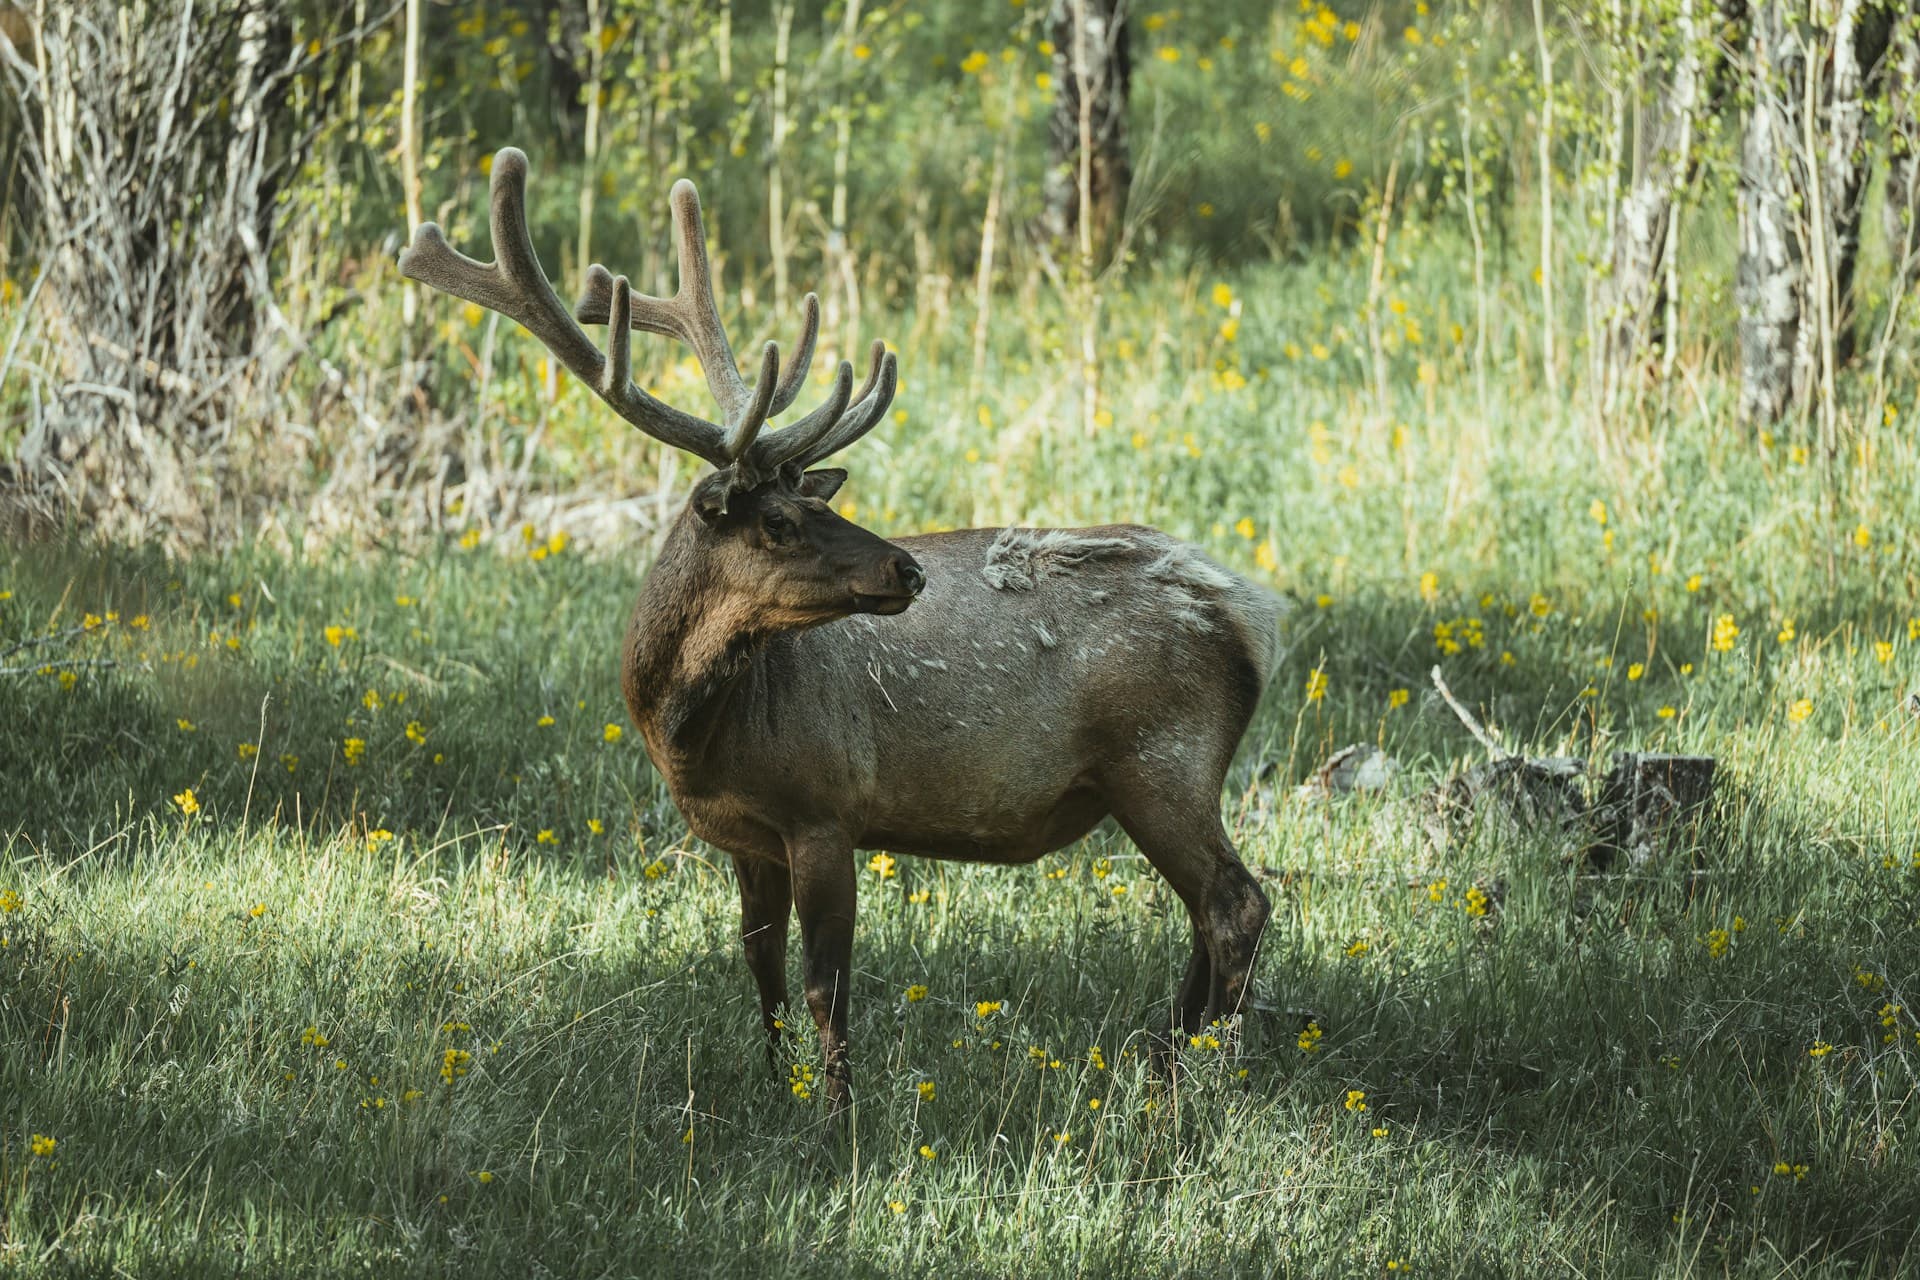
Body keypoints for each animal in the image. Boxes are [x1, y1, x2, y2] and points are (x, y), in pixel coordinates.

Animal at [400, 148, 1283, 1118]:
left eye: (809, 507)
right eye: (780, 521)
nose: (907, 568)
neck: (694, 735)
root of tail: (1250, 615)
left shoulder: (826, 809)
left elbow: (828, 984)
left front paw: (837, 1118)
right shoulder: (744, 838)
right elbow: (761, 967)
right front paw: (772, 1087)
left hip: (1162, 759)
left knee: (1236, 905)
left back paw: (1196, 1078)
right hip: (1160, 775)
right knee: (1207, 913)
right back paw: (1163, 1059)